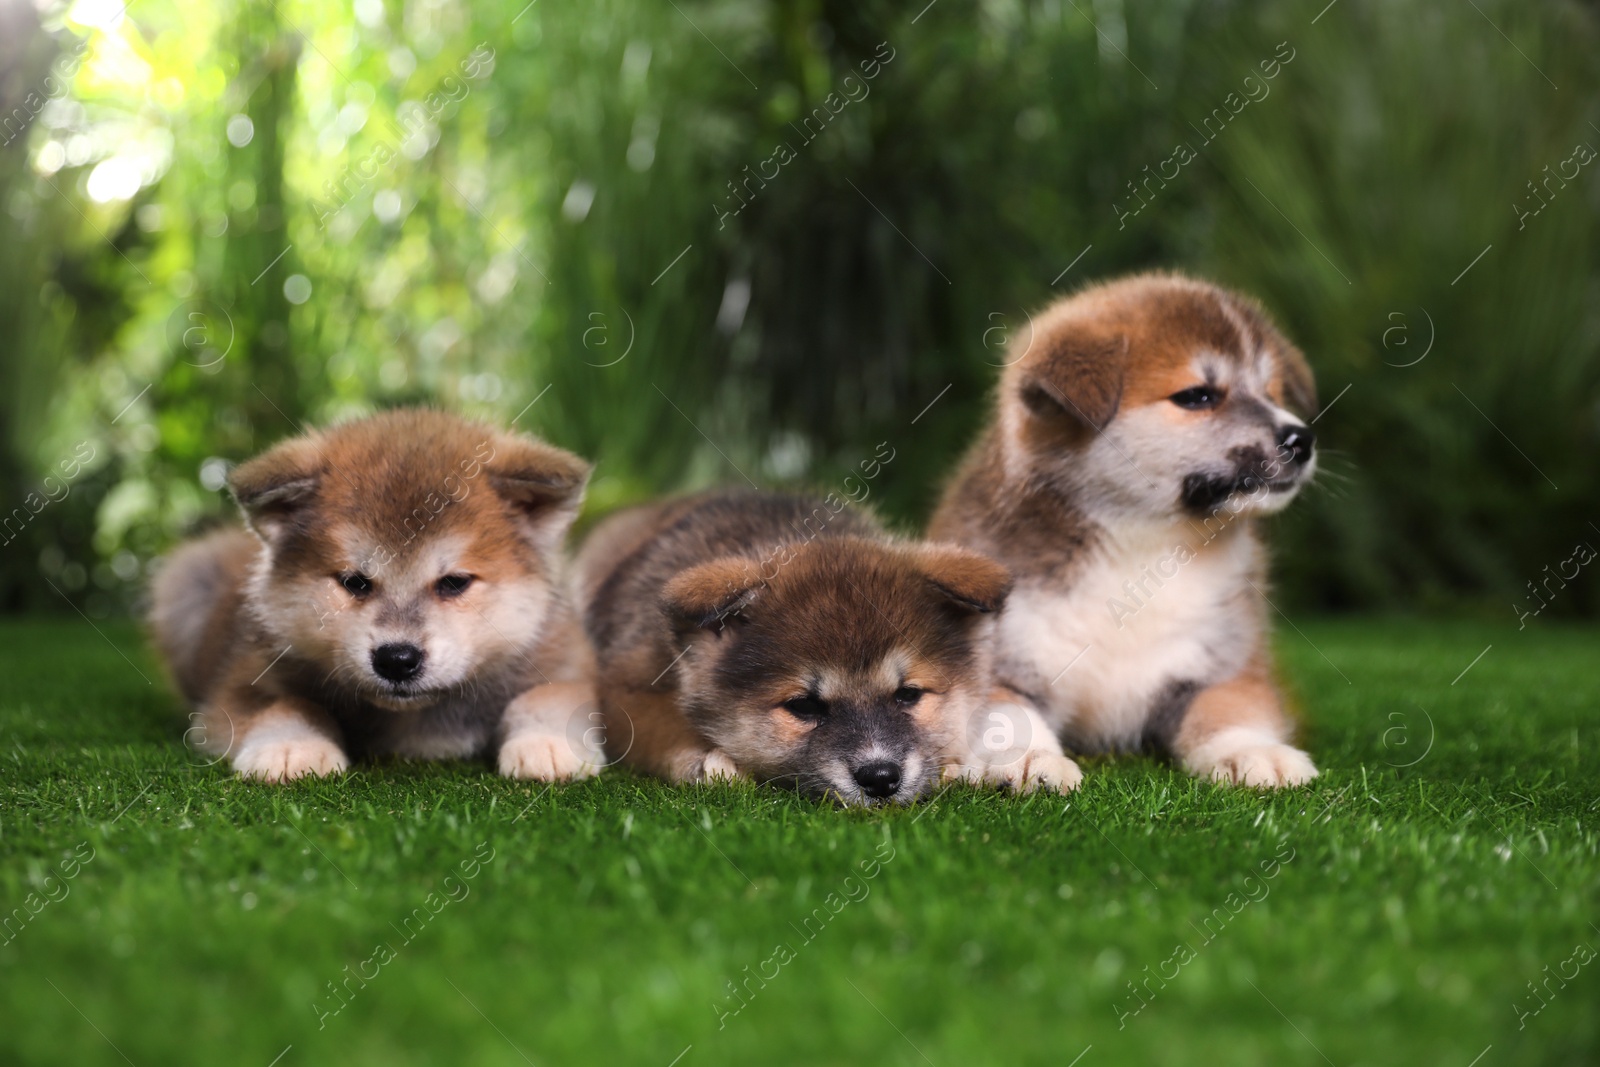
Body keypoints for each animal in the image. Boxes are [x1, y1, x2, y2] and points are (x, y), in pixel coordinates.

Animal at [150, 409, 601, 783]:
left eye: (455, 582)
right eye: (354, 582)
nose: (397, 659)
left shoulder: (568, 667)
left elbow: (547, 697)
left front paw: (548, 742)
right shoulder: (241, 683)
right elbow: (286, 704)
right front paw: (291, 745)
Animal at [576, 489, 1049, 799]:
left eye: (908, 695)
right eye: (803, 706)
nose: (880, 778)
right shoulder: (624, 691)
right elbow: (665, 726)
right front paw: (710, 759)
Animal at [934, 273, 1318, 793]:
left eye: (1272, 393)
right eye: (1197, 396)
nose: (1303, 440)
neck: (1139, 549)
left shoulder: (1226, 664)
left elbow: (1228, 710)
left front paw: (1252, 750)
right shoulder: (991, 662)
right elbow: (1007, 715)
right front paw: (1027, 759)